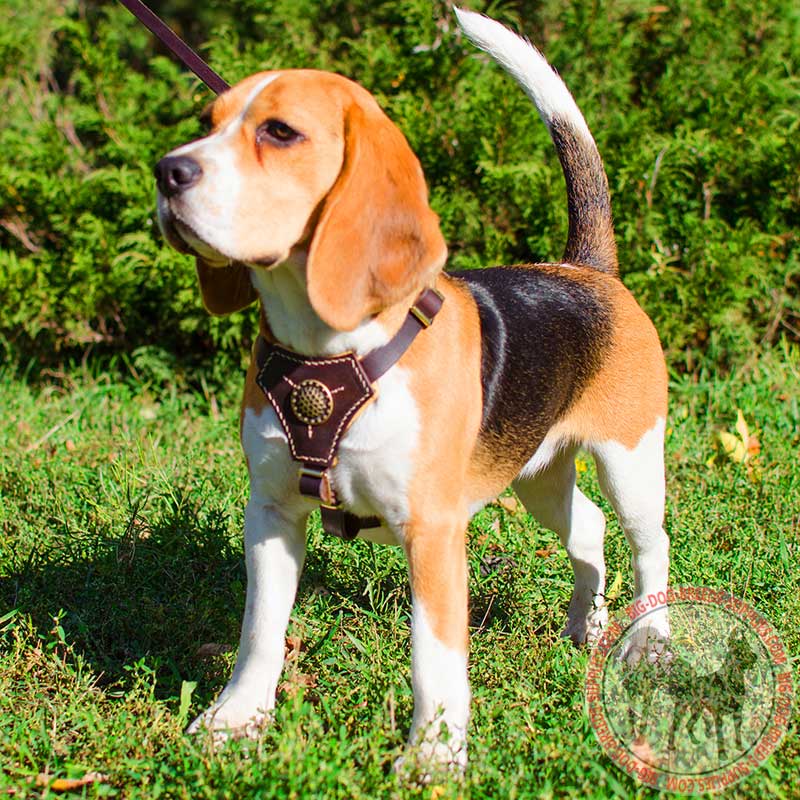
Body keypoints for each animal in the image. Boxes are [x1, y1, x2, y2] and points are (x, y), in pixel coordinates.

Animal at [153, 9, 664, 772]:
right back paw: (585, 623)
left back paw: (649, 641)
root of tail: (585, 269)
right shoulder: (271, 511)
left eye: (280, 132)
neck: (332, 357)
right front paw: (236, 718)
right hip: (538, 478)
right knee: (589, 529)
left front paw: (432, 756)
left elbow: (435, 656)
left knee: (648, 543)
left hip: (631, 460)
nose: (167, 170)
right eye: (206, 122)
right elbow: (259, 632)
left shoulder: (433, 531)